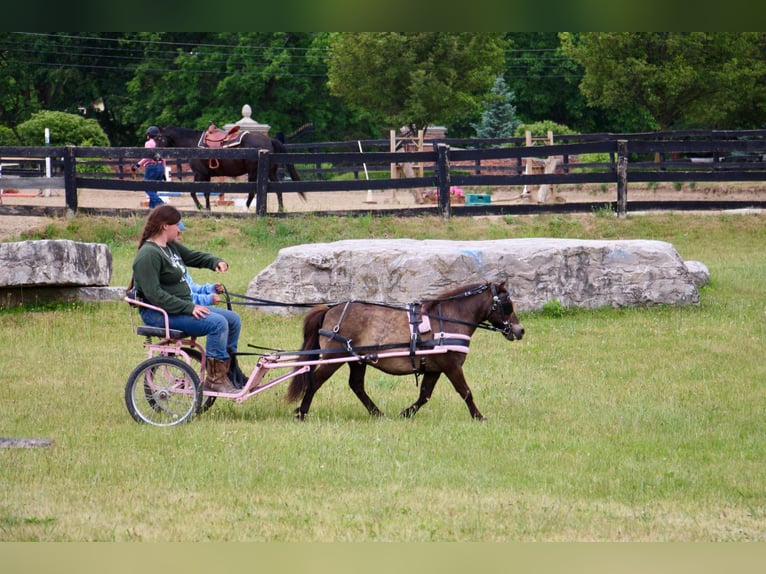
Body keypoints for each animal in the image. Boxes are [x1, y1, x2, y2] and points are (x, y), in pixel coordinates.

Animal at [154, 126, 304, 214]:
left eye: (159, 138)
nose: (156, 155)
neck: (193, 144)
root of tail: (269, 140)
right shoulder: (206, 175)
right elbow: (206, 193)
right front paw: (208, 208)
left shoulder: (200, 173)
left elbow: (193, 192)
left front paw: (201, 208)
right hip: (270, 172)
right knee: (278, 190)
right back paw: (280, 209)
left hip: (253, 172)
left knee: (252, 192)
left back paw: (246, 208)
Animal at [288, 284, 528, 424]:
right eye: (507, 303)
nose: (520, 330)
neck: (448, 319)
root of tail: (330, 308)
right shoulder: (451, 365)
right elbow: (466, 392)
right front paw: (479, 416)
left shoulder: (434, 368)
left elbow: (425, 395)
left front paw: (406, 413)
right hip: (333, 358)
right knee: (315, 381)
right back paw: (301, 413)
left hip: (356, 360)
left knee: (356, 385)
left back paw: (378, 414)